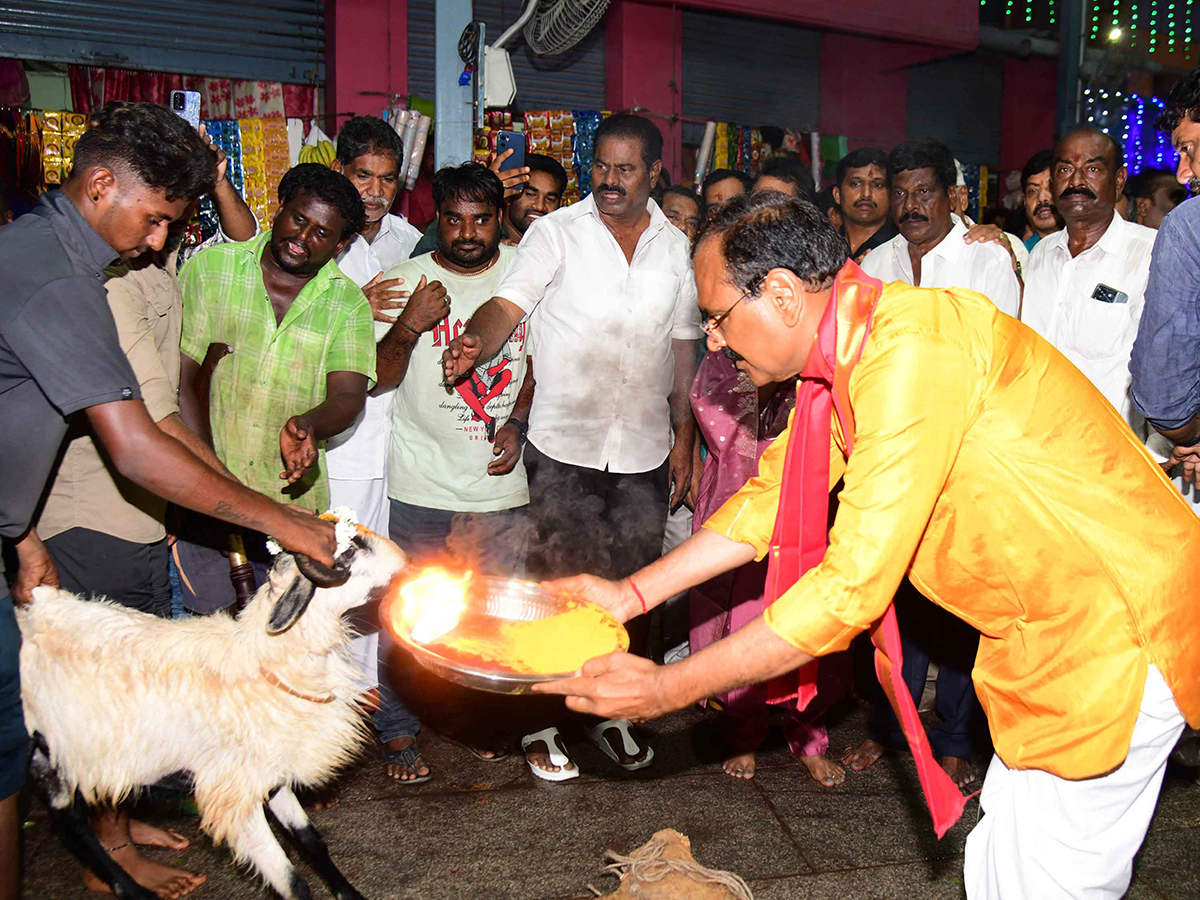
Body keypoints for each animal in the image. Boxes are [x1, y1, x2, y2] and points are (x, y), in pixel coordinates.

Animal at [18, 528, 408, 900]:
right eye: (348, 551)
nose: (406, 563)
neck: (264, 662)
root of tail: (32, 611)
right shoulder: (232, 797)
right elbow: (291, 882)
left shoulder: (270, 776)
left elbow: (312, 841)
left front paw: (349, 893)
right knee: (72, 826)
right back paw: (135, 890)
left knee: (70, 824)